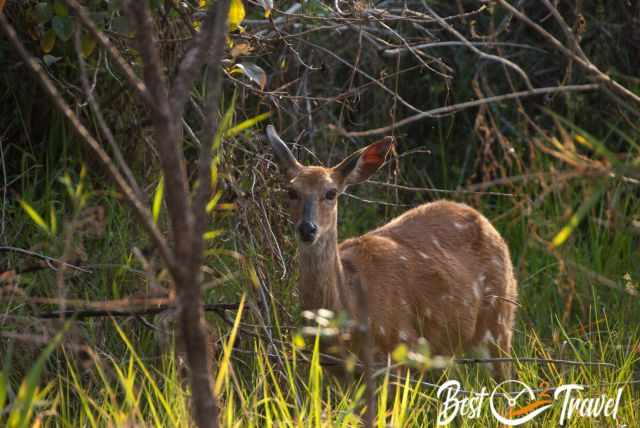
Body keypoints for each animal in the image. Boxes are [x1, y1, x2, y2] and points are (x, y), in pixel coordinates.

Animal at [266, 124, 520, 378]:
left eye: (331, 193)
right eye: (291, 191)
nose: (307, 228)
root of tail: (485, 221)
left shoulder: (401, 347)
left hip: (500, 317)